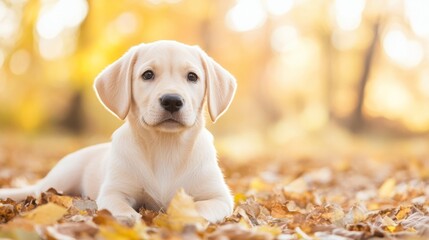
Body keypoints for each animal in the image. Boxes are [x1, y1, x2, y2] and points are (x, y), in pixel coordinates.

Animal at [0, 39, 236, 223]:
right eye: (147, 75)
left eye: (192, 77)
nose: (171, 101)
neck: (165, 145)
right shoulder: (114, 192)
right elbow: (123, 209)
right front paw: (132, 220)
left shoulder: (219, 197)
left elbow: (200, 209)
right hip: (60, 179)